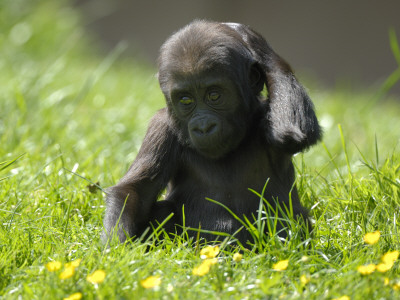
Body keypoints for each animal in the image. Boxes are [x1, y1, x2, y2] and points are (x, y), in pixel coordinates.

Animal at [103, 20, 322, 246]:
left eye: (214, 95)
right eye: (186, 100)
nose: (203, 126)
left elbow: (292, 133)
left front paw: (250, 38)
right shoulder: (161, 127)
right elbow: (134, 192)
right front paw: (117, 248)